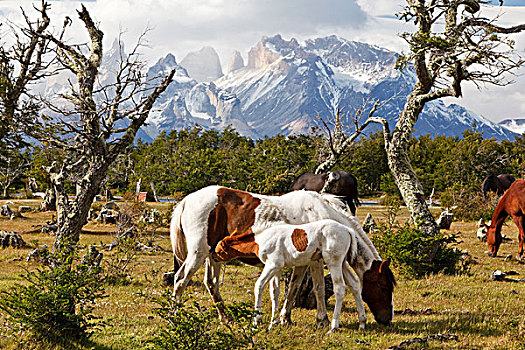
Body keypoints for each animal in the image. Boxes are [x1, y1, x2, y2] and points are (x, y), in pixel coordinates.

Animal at [213, 220, 372, 332]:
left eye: (219, 251)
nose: (213, 257)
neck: (262, 238)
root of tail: (348, 230)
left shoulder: (272, 265)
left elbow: (259, 286)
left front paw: (255, 323)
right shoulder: (276, 268)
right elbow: (275, 292)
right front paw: (273, 323)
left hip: (334, 262)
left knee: (339, 287)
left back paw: (333, 326)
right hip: (343, 262)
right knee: (354, 283)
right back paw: (362, 323)